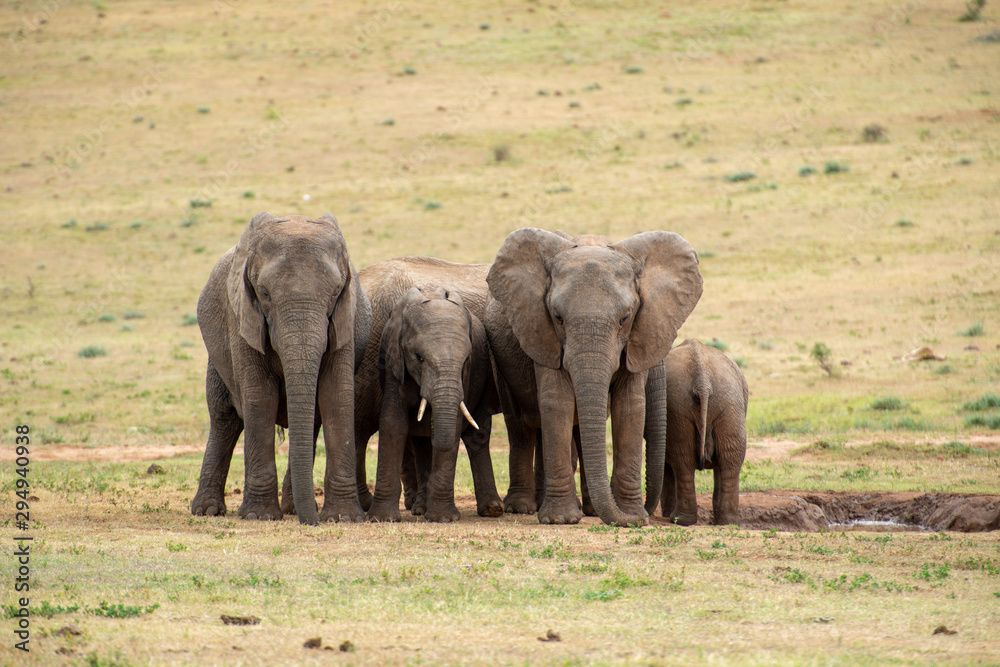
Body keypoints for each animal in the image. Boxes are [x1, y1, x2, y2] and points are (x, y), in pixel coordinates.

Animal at [190, 214, 372, 528]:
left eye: (335, 293)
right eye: (264, 293)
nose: (313, 522)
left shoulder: (344, 321)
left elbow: (336, 397)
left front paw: (343, 518)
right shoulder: (243, 318)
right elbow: (260, 397)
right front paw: (259, 515)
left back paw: (292, 508)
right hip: (218, 355)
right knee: (225, 419)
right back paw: (206, 510)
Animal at [486, 230, 704, 528]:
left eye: (625, 318)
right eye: (557, 317)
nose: (645, 515)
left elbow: (631, 407)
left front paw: (633, 517)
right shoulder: (543, 334)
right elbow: (557, 402)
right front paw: (560, 519)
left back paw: (588, 509)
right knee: (520, 427)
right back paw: (522, 508)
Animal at [660, 340, 748, 528]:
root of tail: (702, 381)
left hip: (711, 403)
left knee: (686, 460)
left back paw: (679, 519)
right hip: (725, 405)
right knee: (729, 459)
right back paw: (726, 522)